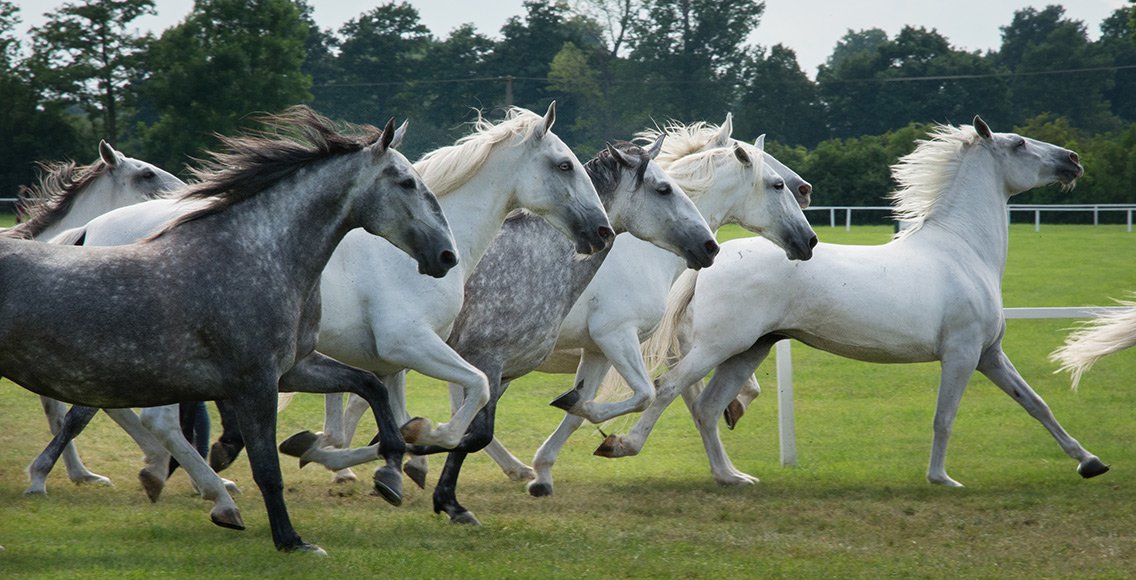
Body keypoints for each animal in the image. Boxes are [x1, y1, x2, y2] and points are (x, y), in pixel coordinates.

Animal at [1, 106, 461, 556]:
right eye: (406, 182)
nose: (446, 256)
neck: (258, 255)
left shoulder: (294, 368)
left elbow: (371, 386)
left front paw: (391, 470)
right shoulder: (256, 384)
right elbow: (268, 468)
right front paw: (291, 540)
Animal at [595, 115, 1108, 488]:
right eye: (1019, 144)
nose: (1073, 159)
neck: (962, 249)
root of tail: (710, 260)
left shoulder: (989, 354)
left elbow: (1036, 403)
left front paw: (1089, 462)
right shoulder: (961, 354)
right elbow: (944, 417)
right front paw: (941, 479)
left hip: (749, 350)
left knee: (706, 407)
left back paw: (730, 476)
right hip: (718, 347)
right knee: (668, 389)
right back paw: (621, 445)